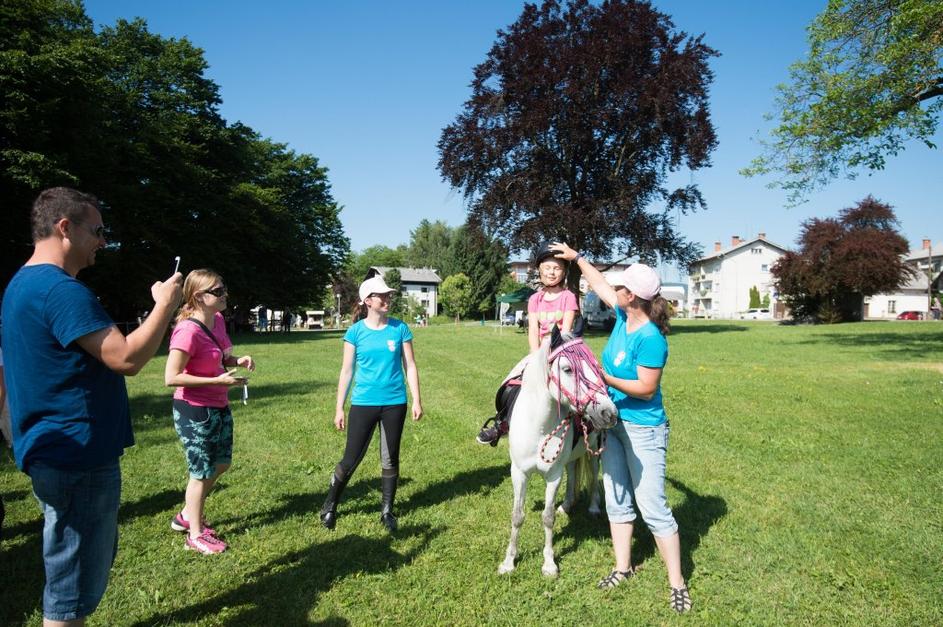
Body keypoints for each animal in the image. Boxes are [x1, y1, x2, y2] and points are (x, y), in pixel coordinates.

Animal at [502, 328, 620, 580]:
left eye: (597, 368)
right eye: (567, 369)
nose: (609, 413)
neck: (538, 427)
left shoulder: (553, 476)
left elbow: (547, 518)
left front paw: (549, 564)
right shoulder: (519, 473)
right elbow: (517, 516)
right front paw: (508, 561)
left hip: (593, 453)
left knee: (592, 475)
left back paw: (593, 507)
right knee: (573, 472)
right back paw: (566, 505)